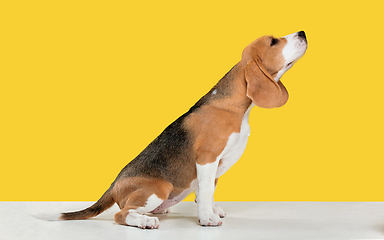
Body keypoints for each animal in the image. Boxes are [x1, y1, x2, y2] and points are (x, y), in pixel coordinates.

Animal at [39, 31, 308, 229]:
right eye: (273, 41)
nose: (302, 32)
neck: (236, 106)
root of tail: (113, 185)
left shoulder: (215, 165)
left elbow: (207, 191)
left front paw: (211, 210)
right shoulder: (207, 158)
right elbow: (206, 190)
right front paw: (207, 218)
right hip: (159, 188)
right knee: (122, 214)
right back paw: (145, 221)